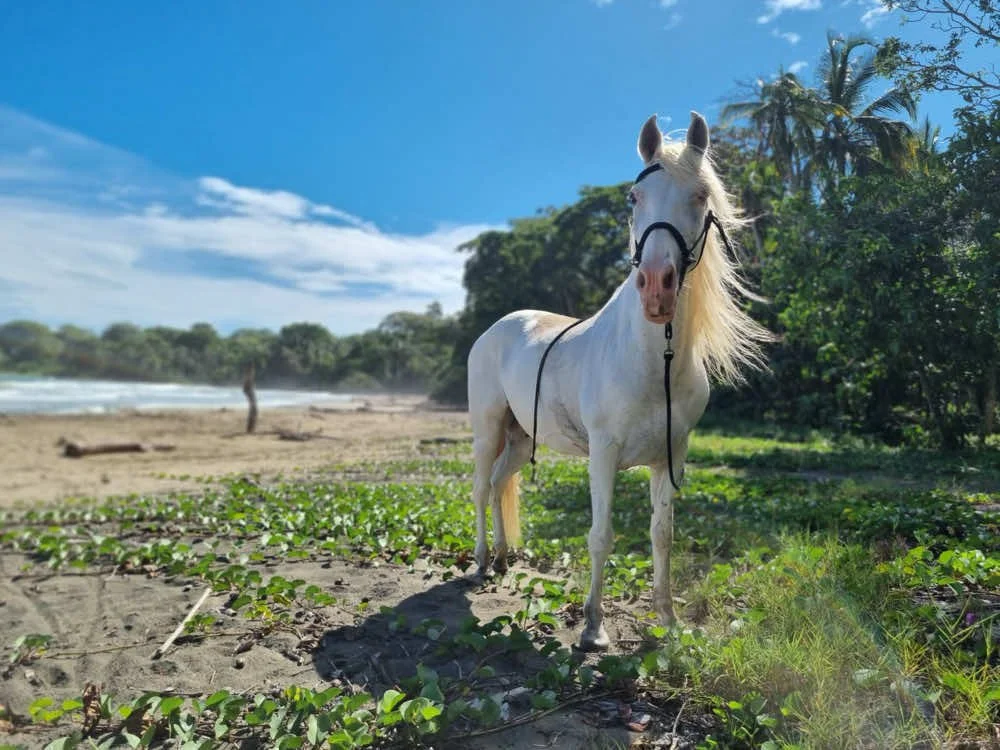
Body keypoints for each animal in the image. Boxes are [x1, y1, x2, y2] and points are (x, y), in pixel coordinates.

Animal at [467, 112, 770, 651]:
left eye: (701, 196)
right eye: (634, 197)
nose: (656, 289)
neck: (651, 363)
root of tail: (496, 327)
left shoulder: (671, 456)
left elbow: (661, 535)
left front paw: (668, 621)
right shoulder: (603, 454)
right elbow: (601, 536)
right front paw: (593, 628)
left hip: (522, 438)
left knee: (502, 482)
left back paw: (503, 559)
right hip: (488, 430)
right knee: (482, 488)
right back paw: (481, 563)